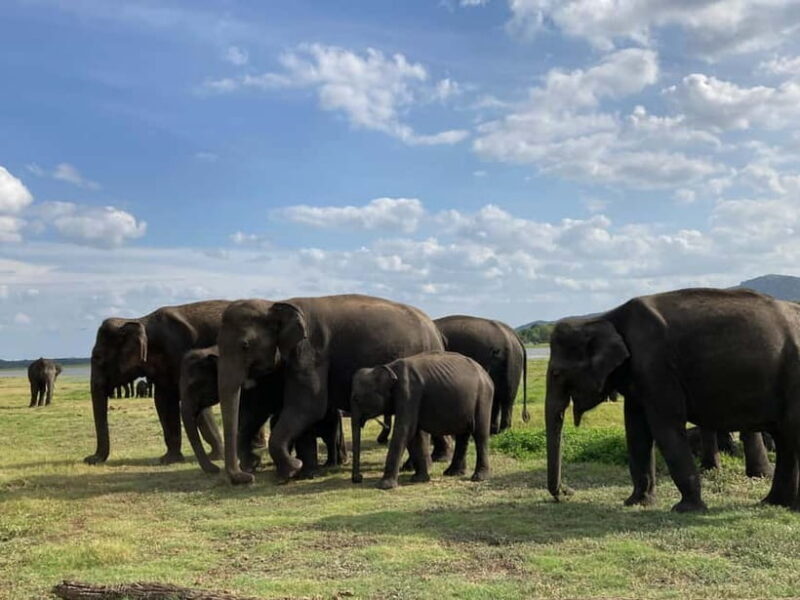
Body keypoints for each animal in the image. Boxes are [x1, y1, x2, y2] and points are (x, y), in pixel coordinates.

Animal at [85, 300, 231, 466]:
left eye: (97, 357)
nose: (89, 459)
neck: (140, 321)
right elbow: (163, 401)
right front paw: (169, 459)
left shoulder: (182, 352)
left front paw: (216, 456)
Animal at [180, 346, 347, 474]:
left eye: (195, 385)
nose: (215, 469)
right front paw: (252, 463)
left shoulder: (258, 388)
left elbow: (252, 417)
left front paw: (250, 464)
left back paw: (331, 463)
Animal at [217, 294, 444, 484]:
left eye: (245, 345)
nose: (247, 477)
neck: (276, 303)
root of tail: (436, 331)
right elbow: (284, 408)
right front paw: (302, 472)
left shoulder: (310, 353)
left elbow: (308, 406)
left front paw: (291, 470)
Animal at [351, 351, 494, 489]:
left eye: (357, 399)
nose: (359, 478)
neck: (389, 367)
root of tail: (485, 373)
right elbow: (415, 434)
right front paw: (419, 479)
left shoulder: (408, 393)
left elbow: (405, 430)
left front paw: (384, 486)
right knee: (462, 435)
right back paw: (453, 473)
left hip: (483, 397)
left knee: (480, 434)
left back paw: (478, 477)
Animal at [546, 287, 800, 512]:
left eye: (557, 373)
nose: (565, 493)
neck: (604, 316)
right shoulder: (639, 375)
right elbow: (636, 429)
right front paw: (636, 503)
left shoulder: (657, 366)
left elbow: (664, 425)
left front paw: (685, 509)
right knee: (786, 439)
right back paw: (773, 504)